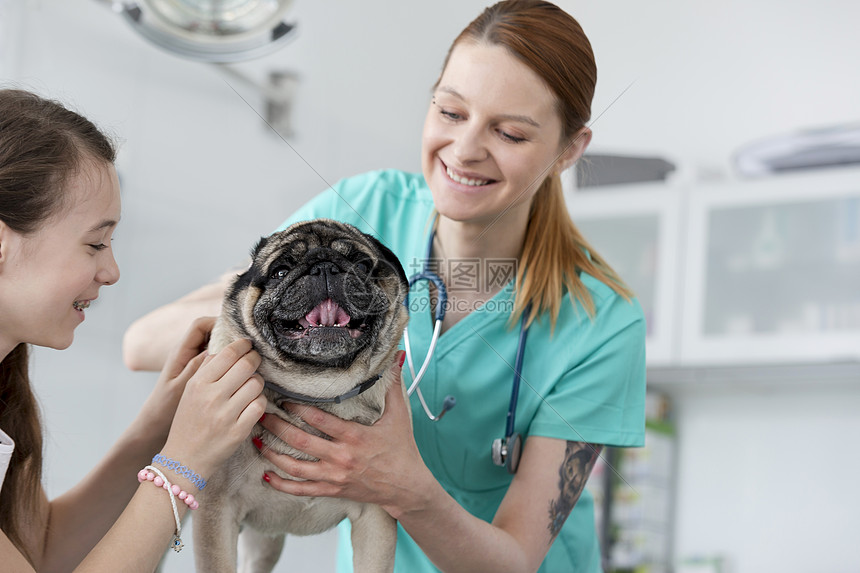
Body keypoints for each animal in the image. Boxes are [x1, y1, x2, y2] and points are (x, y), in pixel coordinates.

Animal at [195, 219, 410, 572]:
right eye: (280, 272)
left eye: (362, 265)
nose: (324, 267)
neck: (317, 388)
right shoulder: (215, 512)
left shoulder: (376, 519)